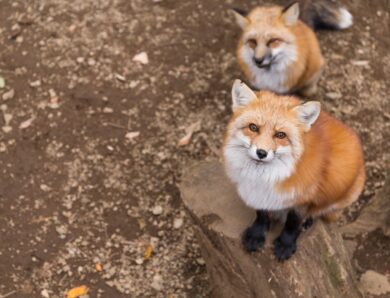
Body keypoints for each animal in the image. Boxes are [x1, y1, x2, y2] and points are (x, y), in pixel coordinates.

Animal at [224, 81, 364, 260]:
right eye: (253, 127)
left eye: (280, 135)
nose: (261, 153)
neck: (265, 178)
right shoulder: (258, 194)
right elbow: (261, 215)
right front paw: (256, 235)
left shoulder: (303, 197)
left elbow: (292, 223)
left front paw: (286, 244)